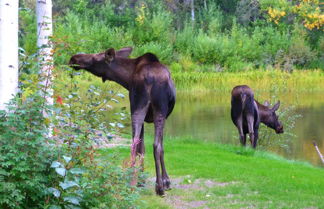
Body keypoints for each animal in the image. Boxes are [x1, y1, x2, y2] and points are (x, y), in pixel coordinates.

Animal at [67, 46, 175, 195]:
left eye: (95, 57)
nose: (73, 58)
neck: (127, 79)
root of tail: (150, 79)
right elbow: (156, 147)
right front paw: (164, 181)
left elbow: (144, 147)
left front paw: (148, 179)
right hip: (151, 108)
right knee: (151, 144)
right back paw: (153, 185)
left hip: (140, 107)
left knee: (137, 143)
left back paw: (136, 183)